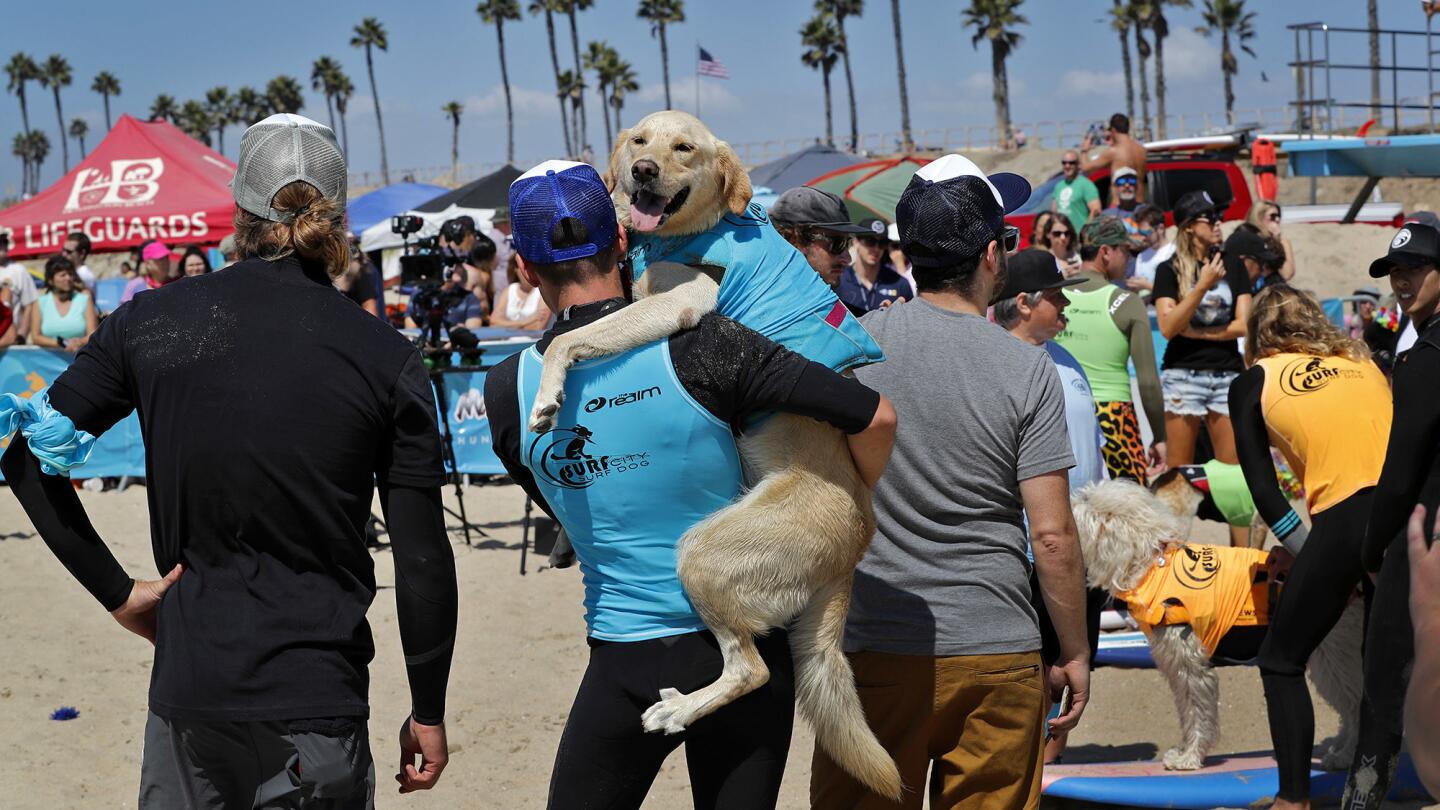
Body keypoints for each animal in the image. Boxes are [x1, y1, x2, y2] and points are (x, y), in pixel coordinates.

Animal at [524, 110, 904, 795]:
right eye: (640, 141)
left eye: (684, 149)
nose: (643, 170)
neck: (682, 237)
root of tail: (856, 544)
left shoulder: (682, 303)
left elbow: (575, 336)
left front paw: (548, 391)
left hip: (703, 554)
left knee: (753, 670)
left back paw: (679, 709)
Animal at [1077, 478, 1365, 766]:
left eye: (1086, 499)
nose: (1072, 498)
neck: (1154, 564)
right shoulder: (1177, 665)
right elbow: (1187, 711)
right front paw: (1185, 751)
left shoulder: (1192, 665)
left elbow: (1198, 712)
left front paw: (1190, 757)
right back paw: (1340, 748)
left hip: (1335, 656)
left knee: (1355, 704)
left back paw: (1346, 755)